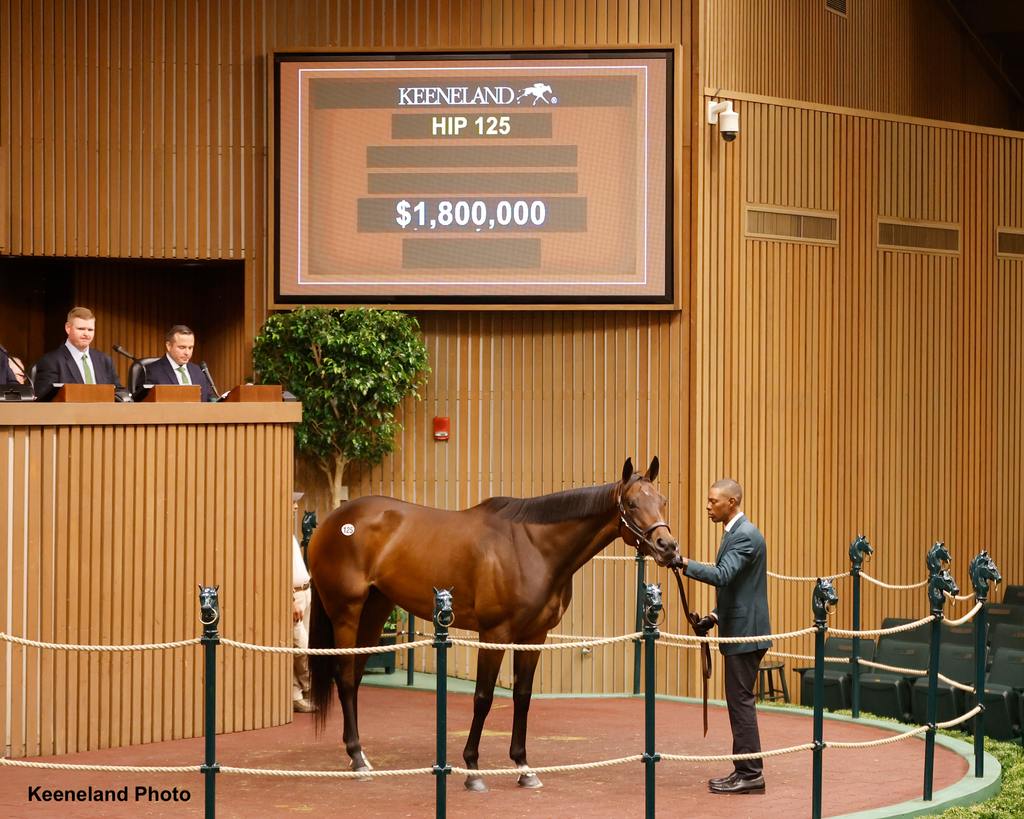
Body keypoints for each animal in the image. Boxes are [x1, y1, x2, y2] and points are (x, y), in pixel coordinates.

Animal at [307, 456, 684, 790]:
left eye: (662, 501)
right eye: (632, 504)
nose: (668, 547)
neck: (533, 548)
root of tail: (331, 520)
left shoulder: (534, 636)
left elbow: (522, 695)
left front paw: (523, 767)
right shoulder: (494, 633)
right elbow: (484, 697)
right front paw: (472, 770)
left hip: (375, 610)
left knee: (354, 677)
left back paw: (360, 757)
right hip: (346, 611)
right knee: (345, 678)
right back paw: (357, 760)